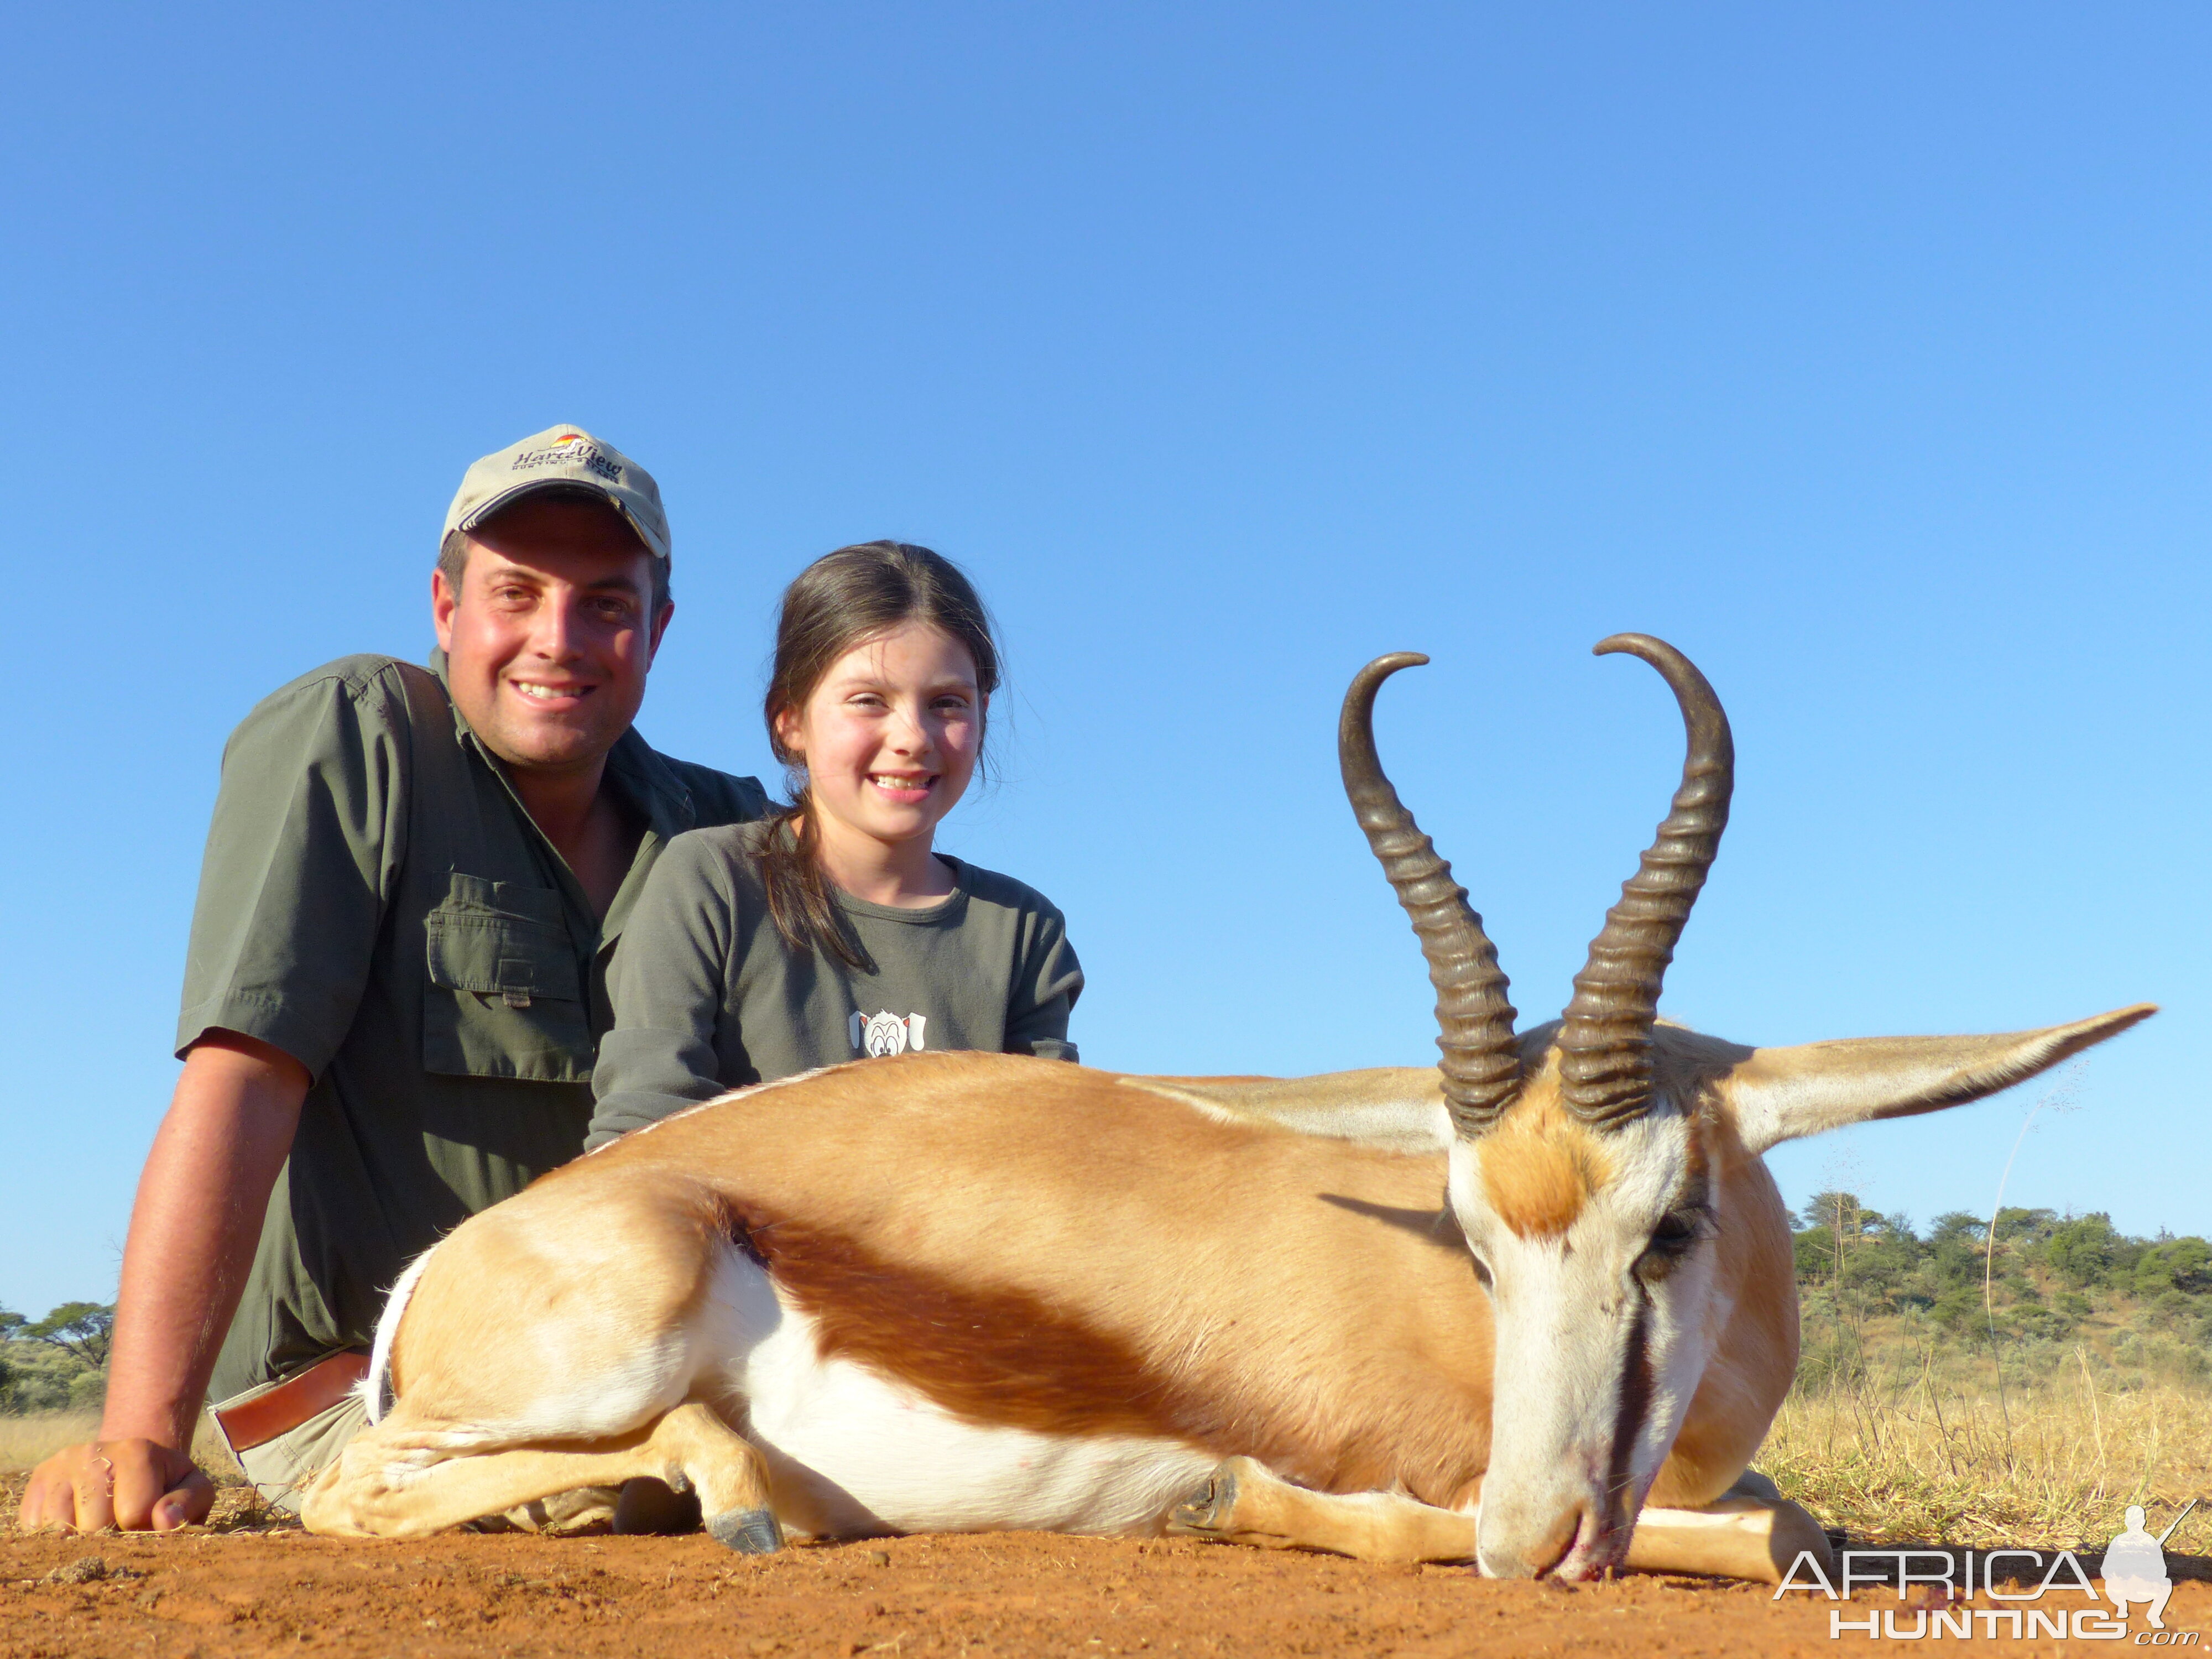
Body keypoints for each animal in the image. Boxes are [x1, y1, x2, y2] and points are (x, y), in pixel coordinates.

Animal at [303, 637, 2150, 1584]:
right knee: (352, 1489)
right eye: (1475, 1240)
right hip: (608, 1338)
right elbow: (1773, 1537)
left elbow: (1795, 1515)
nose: (1529, 1537)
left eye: (1670, 1223)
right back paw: (748, 1497)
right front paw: (1245, 1508)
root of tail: (444, 1268)